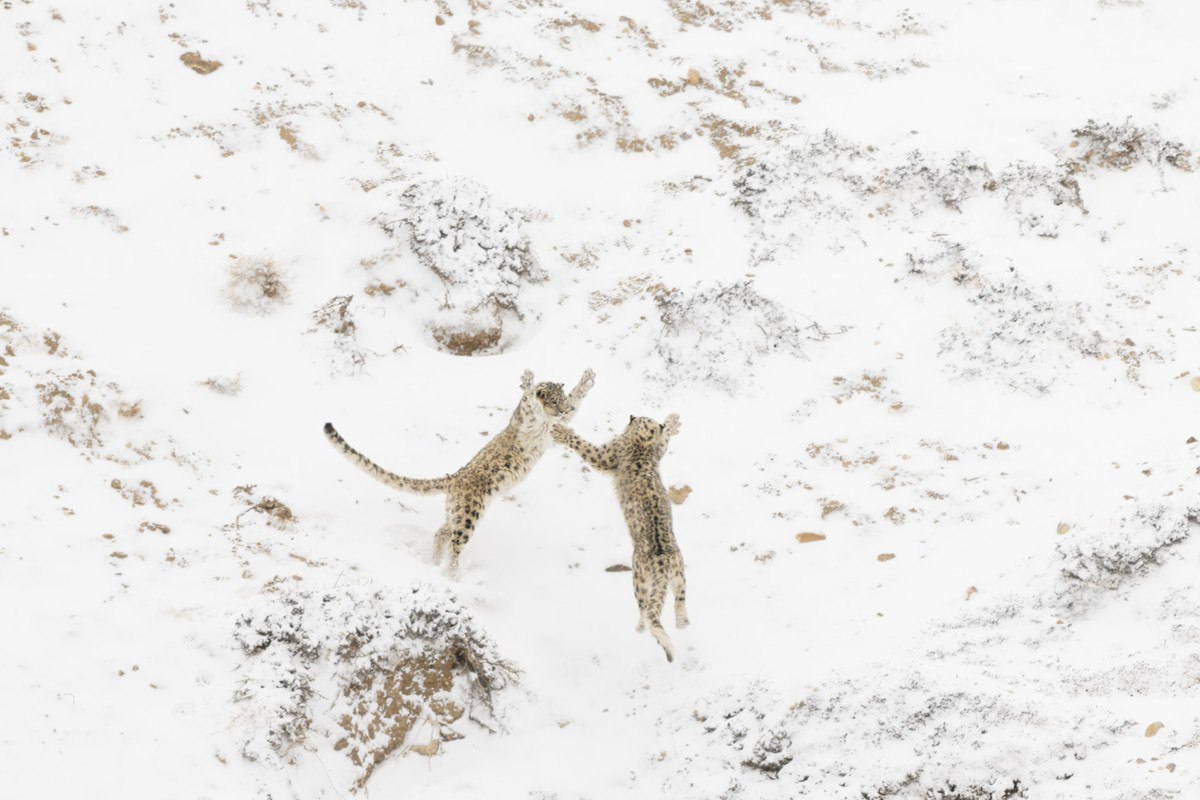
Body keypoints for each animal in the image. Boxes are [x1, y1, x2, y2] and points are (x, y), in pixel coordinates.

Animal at [326, 369, 592, 575]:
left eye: (561, 400)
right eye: (553, 401)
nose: (560, 408)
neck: (547, 425)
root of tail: (454, 478)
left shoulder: (560, 424)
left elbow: (575, 404)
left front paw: (587, 380)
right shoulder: (528, 420)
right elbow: (528, 402)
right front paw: (528, 381)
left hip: (457, 512)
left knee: (441, 533)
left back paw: (435, 563)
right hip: (468, 514)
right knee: (454, 544)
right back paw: (453, 574)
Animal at [549, 412, 686, 662]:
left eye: (639, 419)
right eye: (646, 417)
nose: (631, 415)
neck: (640, 447)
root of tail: (663, 562)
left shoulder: (606, 455)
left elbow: (585, 447)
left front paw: (562, 432)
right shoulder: (658, 451)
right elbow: (664, 443)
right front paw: (672, 421)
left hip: (639, 579)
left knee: (645, 608)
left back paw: (639, 627)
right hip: (680, 575)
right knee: (680, 602)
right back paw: (682, 622)